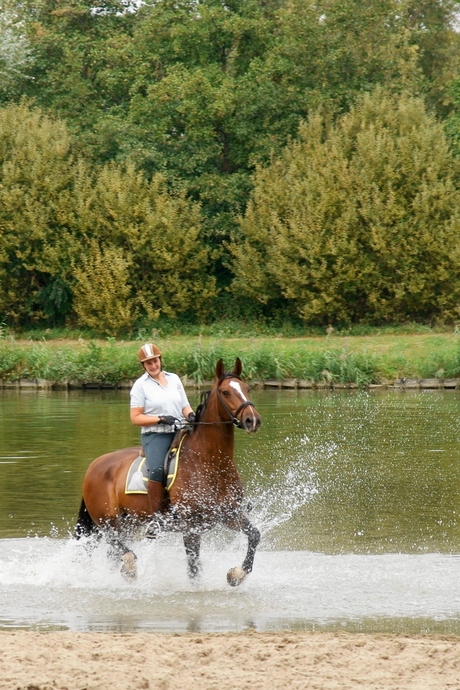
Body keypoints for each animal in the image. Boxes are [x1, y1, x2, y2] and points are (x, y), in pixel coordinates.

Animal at [75, 354, 262, 584]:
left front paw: (237, 574)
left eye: (246, 388)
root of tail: (94, 466)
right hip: (107, 521)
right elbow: (193, 569)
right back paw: (130, 565)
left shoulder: (230, 515)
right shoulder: (191, 528)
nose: (252, 420)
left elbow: (254, 535)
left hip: (127, 522)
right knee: (115, 543)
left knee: (113, 550)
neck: (211, 464)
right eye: (226, 392)